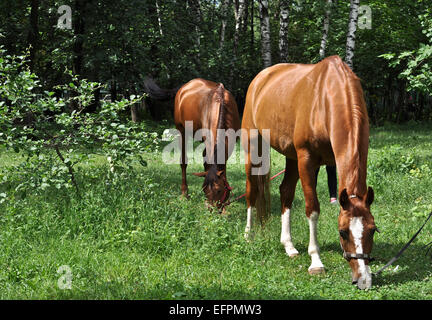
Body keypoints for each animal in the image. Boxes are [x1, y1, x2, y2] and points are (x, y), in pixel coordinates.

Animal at [243, 55, 378, 290]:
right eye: (343, 232)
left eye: (372, 230)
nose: (362, 279)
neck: (325, 98)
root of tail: (260, 78)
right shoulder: (307, 159)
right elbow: (312, 209)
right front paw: (316, 261)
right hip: (255, 147)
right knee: (251, 190)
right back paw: (248, 234)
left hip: (291, 156)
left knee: (286, 191)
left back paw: (289, 246)